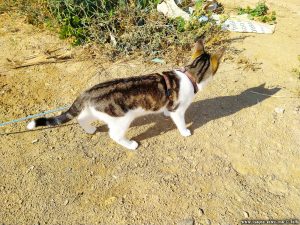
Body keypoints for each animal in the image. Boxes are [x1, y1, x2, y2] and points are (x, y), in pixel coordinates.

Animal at [27, 38, 224, 151]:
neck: (190, 74)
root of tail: (88, 92)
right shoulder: (179, 109)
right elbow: (180, 122)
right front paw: (185, 132)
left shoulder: (171, 103)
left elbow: (166, 108)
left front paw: (165, 113)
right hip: (121, 119)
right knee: (114, 135)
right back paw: (130, 144)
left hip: (96, 112)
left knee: (82, 118)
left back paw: (90, 130)